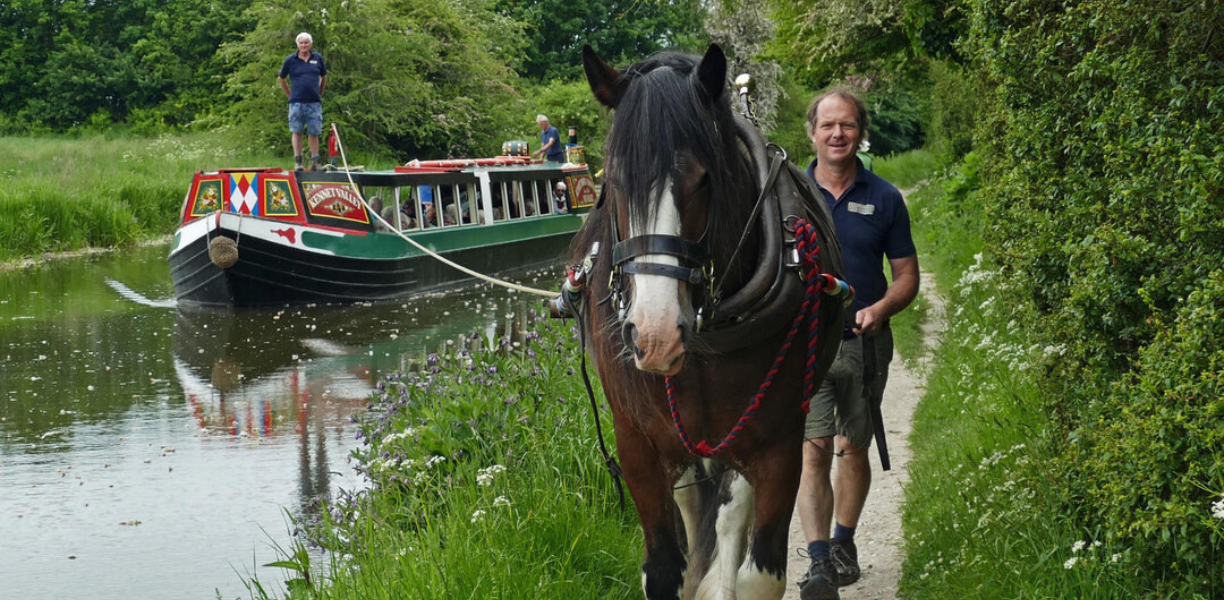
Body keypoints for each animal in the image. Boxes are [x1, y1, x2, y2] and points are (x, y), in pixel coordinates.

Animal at [572, 43, 851, 600]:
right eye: (611, 181)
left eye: (704, 179)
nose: (655, 336)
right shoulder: (637, 444)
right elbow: (663, 569)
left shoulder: (775, 442)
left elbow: (756, 572)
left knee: (728, 512)